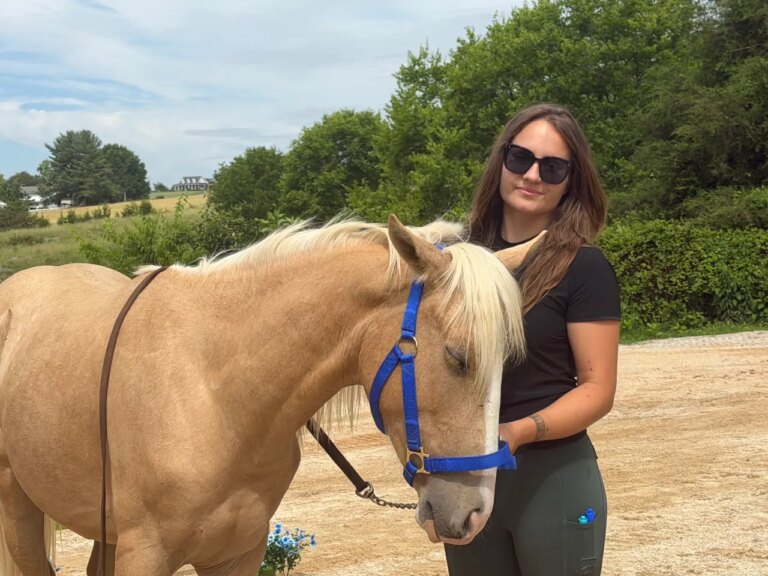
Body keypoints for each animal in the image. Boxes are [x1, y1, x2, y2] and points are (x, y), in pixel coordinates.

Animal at [0, 215, 537, 575]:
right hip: (17, 504)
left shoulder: (238, 553)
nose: (475, 513)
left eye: (509, 363)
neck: (217, 394)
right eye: (458, 357)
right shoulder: (144, 555)